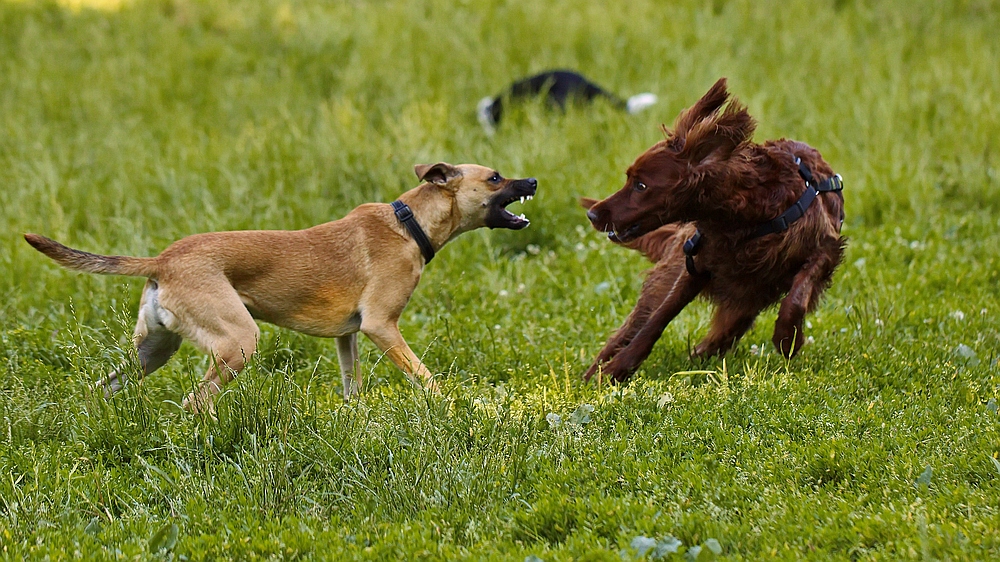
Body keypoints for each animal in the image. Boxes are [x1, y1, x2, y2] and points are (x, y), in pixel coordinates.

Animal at [25, 160, 540, 410]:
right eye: (495, 177)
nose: (534, 180)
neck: (409, 223)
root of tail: (165, 260)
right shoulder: (381, 327)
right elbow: (427, 379)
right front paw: (458, 409)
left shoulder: (349, 337)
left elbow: (352, 387)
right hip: (237, 342)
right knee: (194, 404)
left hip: (153, 351)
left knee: (102, 388)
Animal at [584, 77, 848, 380]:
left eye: (640, 185)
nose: (592, 214)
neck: (746, 217)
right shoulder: (696, 265)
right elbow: (657, 320)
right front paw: (616, 369)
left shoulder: (826, 248)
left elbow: (798, 292)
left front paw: (787, 337)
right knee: (633, 325)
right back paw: (593, 373)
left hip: (746, 302)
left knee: (723, 335)